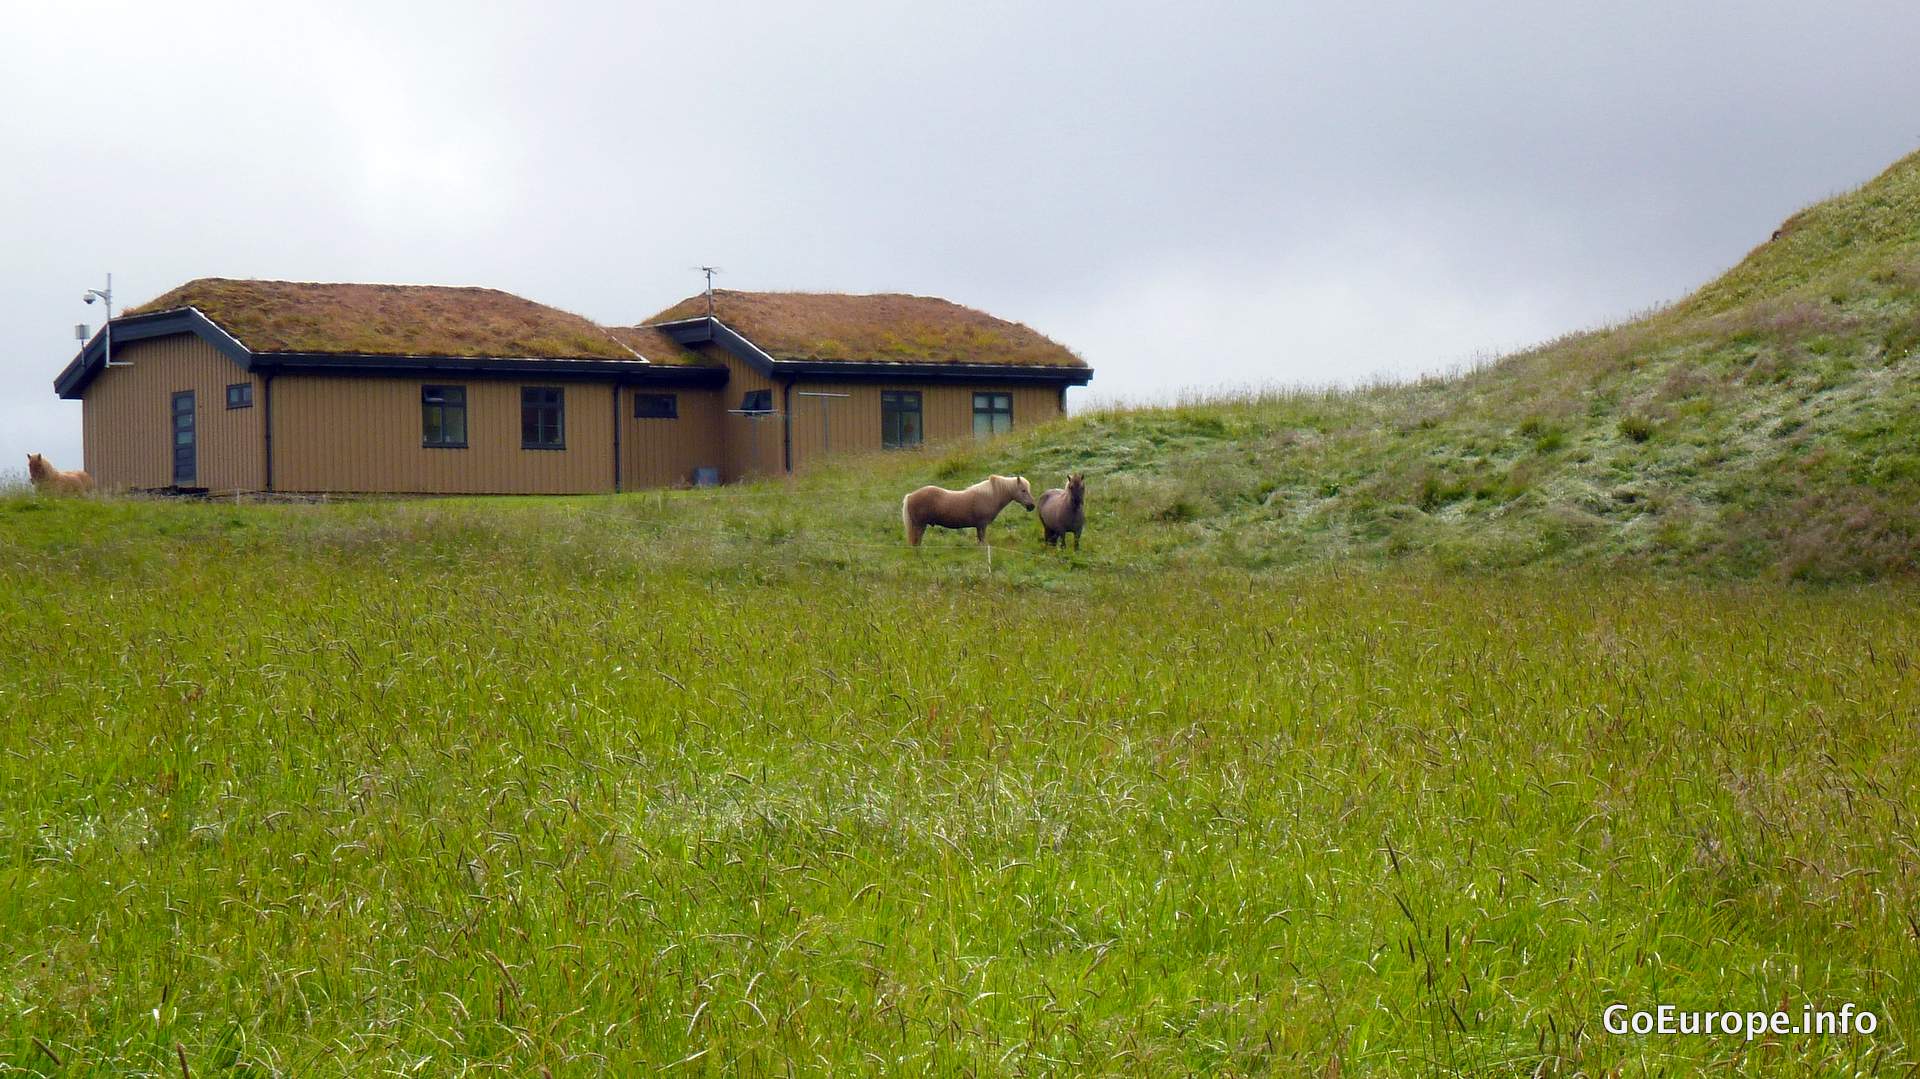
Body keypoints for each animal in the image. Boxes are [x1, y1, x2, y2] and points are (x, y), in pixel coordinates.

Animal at [902, 474, 1034, 546]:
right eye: (1023, 490)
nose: (1032, 506)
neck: (990, 495)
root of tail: (910, 495)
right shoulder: (982, 525)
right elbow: (982, 541)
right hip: (919, 526)